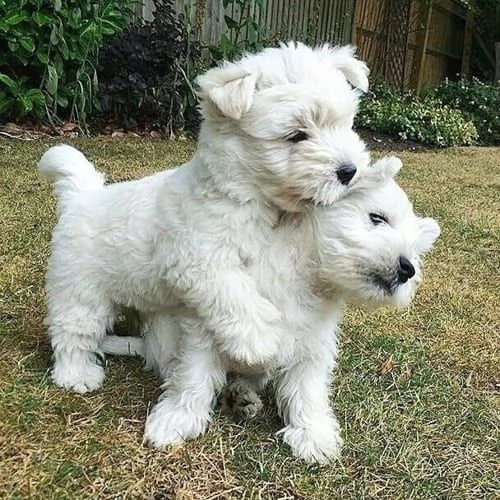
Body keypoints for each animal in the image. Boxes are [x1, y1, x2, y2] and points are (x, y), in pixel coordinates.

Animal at [103, 156, 440, 460]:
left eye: (416, 250)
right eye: (377, 218)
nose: (407, 269)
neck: (305, 275)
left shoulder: (312, 348)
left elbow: (308, 391)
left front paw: (313, 434)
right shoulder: (208, 328)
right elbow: (193, 378)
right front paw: (175, 419)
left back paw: (242, 395)